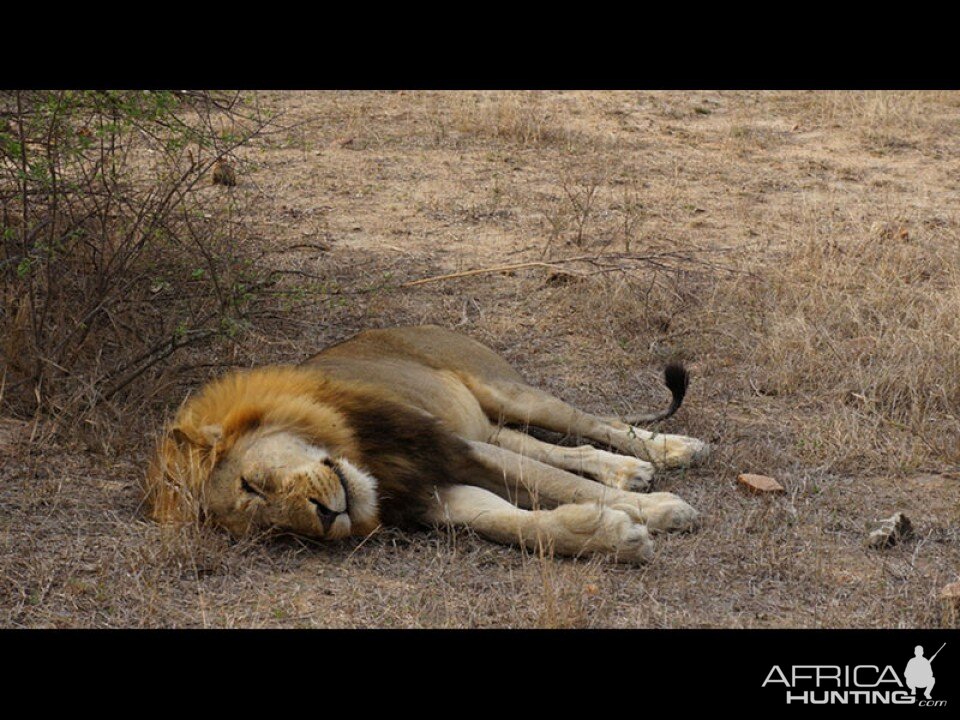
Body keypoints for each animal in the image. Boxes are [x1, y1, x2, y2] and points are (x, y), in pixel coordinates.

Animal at [146, 324, 708, 564]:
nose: (326, 517)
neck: (361, 454)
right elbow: (508, 519)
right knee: (558, 449)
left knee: (593, 422)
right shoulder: (429, 491)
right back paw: (629, 471)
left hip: (508, 393)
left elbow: (558, 484)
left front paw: (662, 510)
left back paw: (674, 450)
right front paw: (612, 536)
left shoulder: (451, 446)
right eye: (274, 531)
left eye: (252, 485)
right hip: (488, 423)